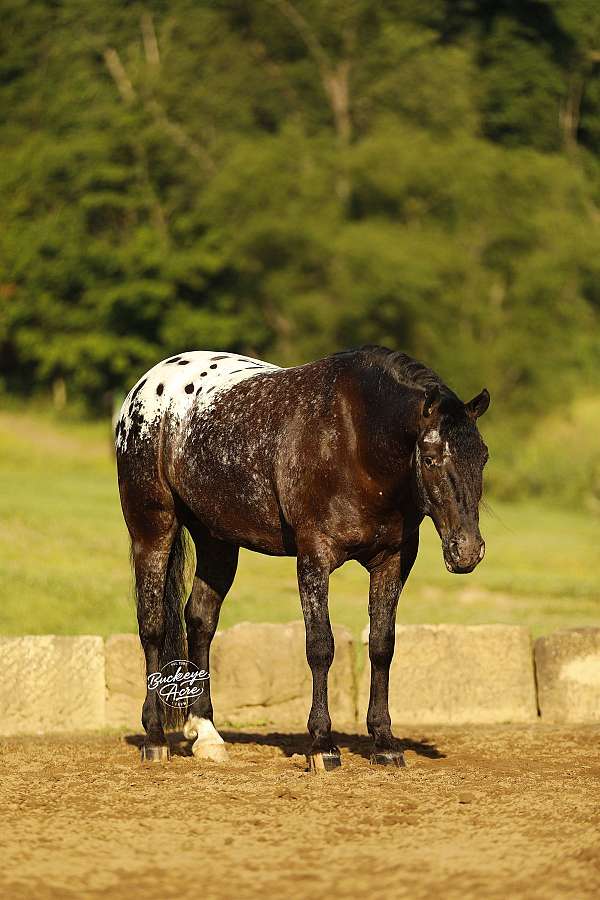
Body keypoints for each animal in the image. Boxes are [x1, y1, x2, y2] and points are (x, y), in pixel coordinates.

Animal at [115, 345, 489, 770]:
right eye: (430, 458)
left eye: (483, 457)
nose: (467, 550)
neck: (353, 441)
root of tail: (145, 388)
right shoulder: (314, 558)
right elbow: (320, 646)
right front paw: (323, 744)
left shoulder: (393, 561)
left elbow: (382, 645)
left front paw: (385, 742)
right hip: (152, 530)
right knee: (153, 626)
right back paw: (155, 737)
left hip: (217, 542)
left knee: (200, 622)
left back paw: (207, 735)